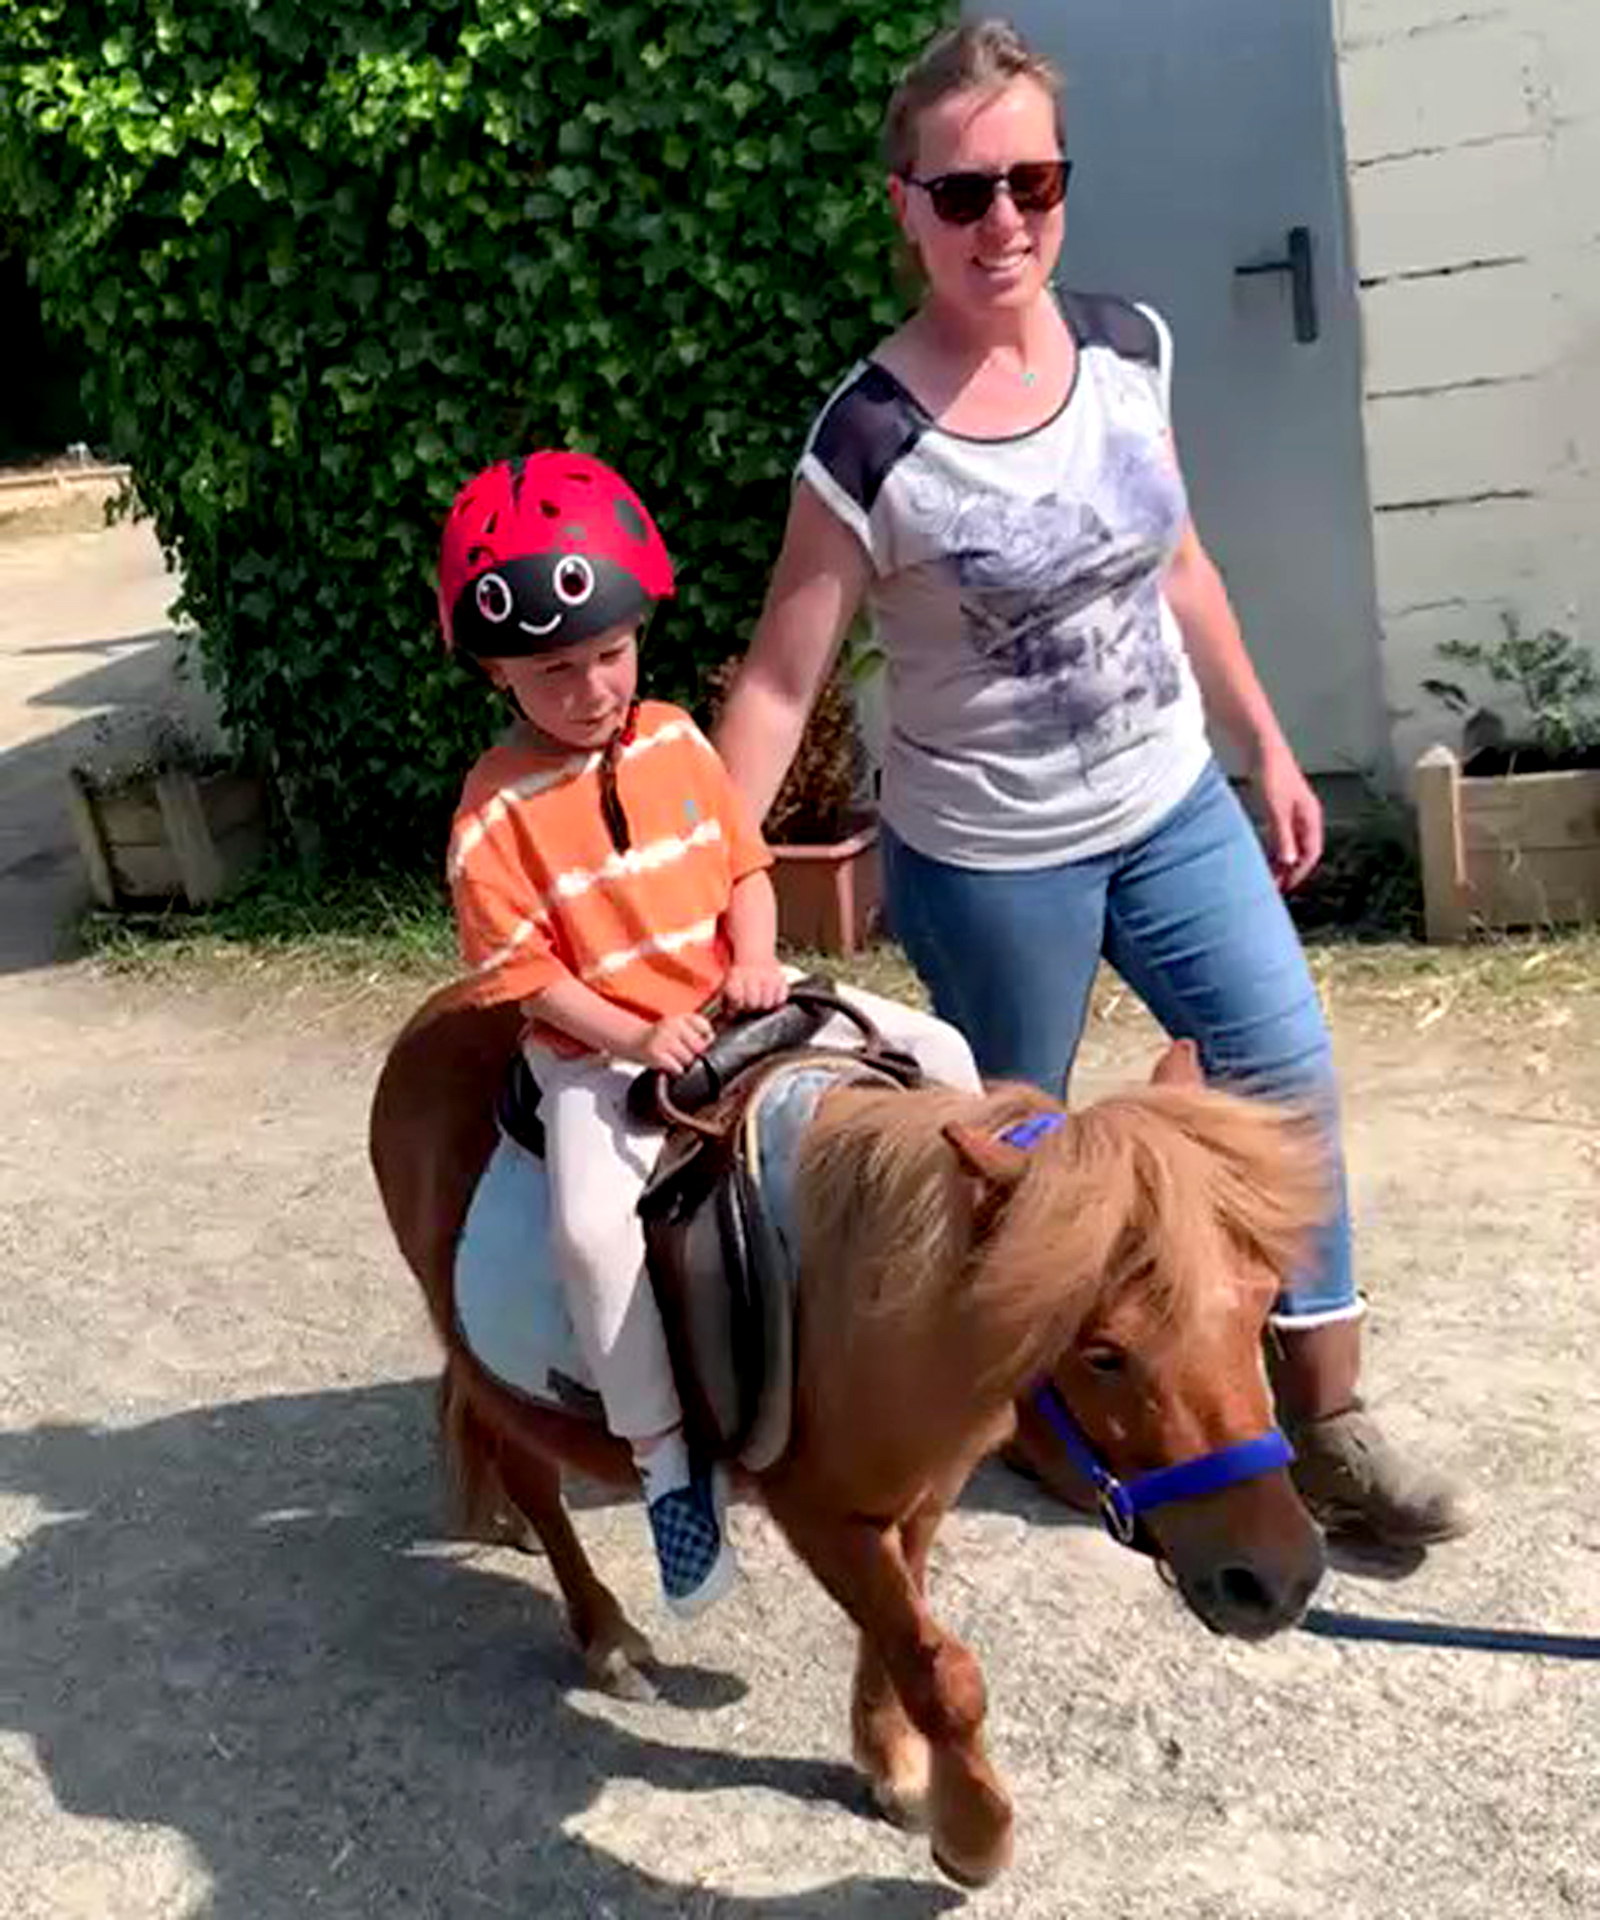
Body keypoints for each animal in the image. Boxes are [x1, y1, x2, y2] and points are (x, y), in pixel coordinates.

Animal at [368, 977, 1330, 1888]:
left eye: (1261, 1301)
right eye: (1103, 1353)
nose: (1278, 1578)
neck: (859, 1290)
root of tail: (435, 1014)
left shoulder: (921, 1493)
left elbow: (899, 1634)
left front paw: (892, 1765)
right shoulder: (818, 1512)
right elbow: (941, 1670)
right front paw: (973, 1834)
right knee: (530, 1471)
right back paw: (604, 1635)